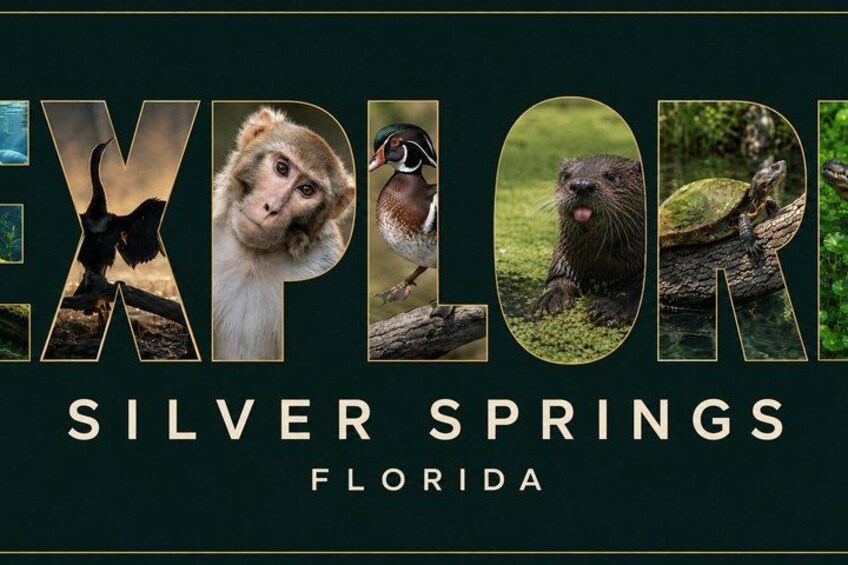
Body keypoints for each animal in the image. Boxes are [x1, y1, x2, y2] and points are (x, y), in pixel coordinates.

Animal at [533, 154, 645, 327]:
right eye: (566, 175)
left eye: (611, 176)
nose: (581, 185)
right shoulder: (564, 255)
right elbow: (559, 278)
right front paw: (549, 299)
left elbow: (635, 293)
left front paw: (610, 308)